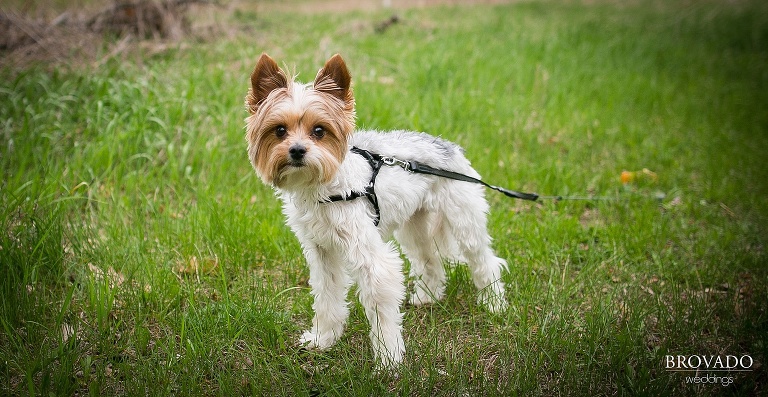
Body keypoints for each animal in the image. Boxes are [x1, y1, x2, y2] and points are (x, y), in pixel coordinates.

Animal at [246, 54, 510, 366]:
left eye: (319, 131)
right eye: (280, 130)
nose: (297, 150)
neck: (325, 187)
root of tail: (447, 146)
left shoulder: (372, 259)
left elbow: (381, 313)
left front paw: (388, 361)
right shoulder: (322, 253)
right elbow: (327, 298)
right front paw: (323, 340)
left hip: (463, 220)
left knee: (485, 261)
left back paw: (494, 304)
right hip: (414, 227)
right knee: (430, 261)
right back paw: (428, 297)